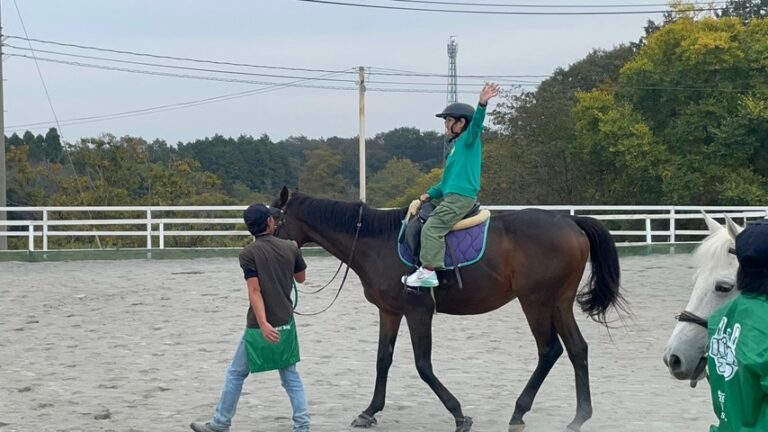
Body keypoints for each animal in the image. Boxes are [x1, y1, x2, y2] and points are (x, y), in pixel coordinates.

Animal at [270, 188, 624, 432]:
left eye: (272, 222)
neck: (377, 241)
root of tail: (569, 220)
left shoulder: (418, 312)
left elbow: (423, 366)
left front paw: (459, 414)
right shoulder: (390, 311)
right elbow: (383, 360)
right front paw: (369, 412)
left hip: (535, 302)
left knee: (549, 350)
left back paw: (519, 412)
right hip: (559, 303)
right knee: (577, 349)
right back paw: (578, 417)